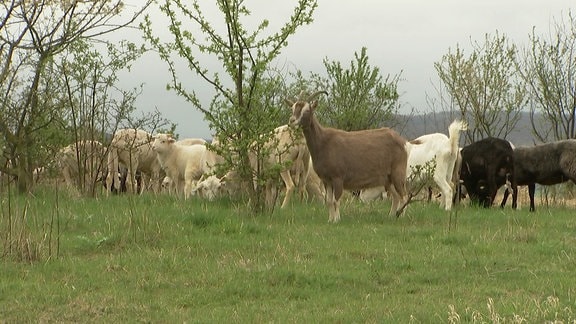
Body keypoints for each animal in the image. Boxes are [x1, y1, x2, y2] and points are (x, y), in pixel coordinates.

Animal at [286, 91, 410, 223]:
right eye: (292, 108)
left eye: (307, 110)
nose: (292, 120)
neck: (323, 142)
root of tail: (403, 142)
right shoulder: (326, 180)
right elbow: (329, 201)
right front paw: (330, 220)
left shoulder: (338, 178)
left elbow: (336, 201)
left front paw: (336, 220)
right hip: (388, 178)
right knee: (396, 196)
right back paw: (391, 216)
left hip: (397, 173)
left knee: (404, 196)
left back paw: (401, 217)